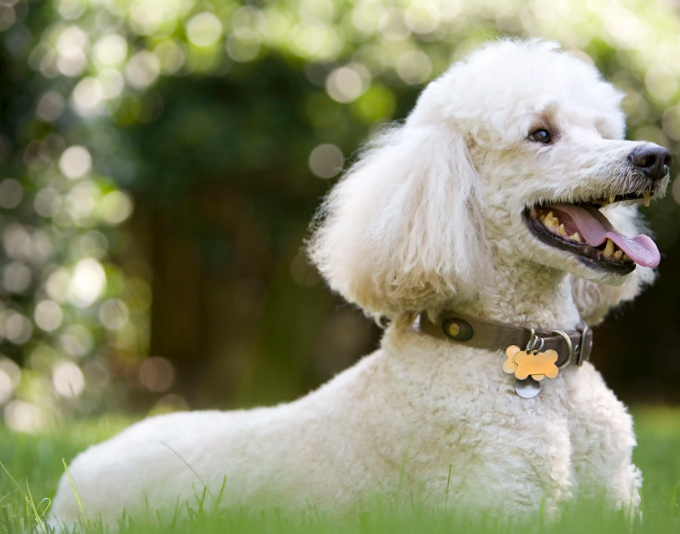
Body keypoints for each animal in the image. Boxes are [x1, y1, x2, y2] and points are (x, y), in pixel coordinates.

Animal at [50, 39, 672, 528]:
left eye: (602, 130)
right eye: (540, 133)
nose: (656, 157)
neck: (524, 355)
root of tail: (72, 475)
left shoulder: (615, 502)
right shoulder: (499, 504)